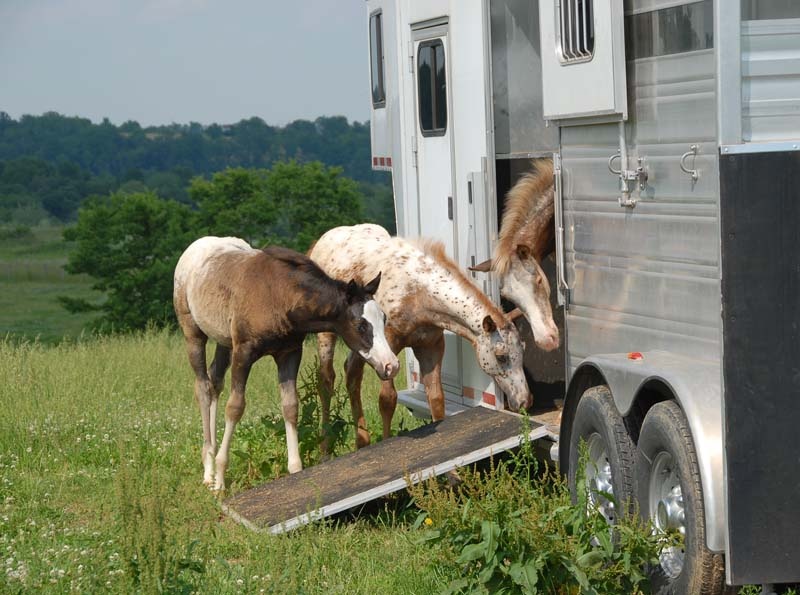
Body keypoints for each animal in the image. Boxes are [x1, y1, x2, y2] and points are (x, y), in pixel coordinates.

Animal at [173, 236, 399, 491]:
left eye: (384, 319)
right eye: (361, 325)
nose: (391, 365)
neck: (278, 295)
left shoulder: (289, 353)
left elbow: (290, 406)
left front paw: (295, 469)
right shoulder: (244, 352)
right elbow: (235, 407)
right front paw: (221, 478)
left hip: (224, 341)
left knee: (215, 381)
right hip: (193, 334)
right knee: (203, 387)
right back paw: (209, 470)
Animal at [309, 223, 531, 452]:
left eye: (523, 349)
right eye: (501, 355)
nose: (524, 401)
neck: (417, 293)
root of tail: (320, 243)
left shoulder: (430, 347)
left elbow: (436, 398)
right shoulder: (389, 347)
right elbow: (387, 399)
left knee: (352, 373)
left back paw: (362, 441)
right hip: (328, 335)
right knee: (326, 379)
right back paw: (325, 446)